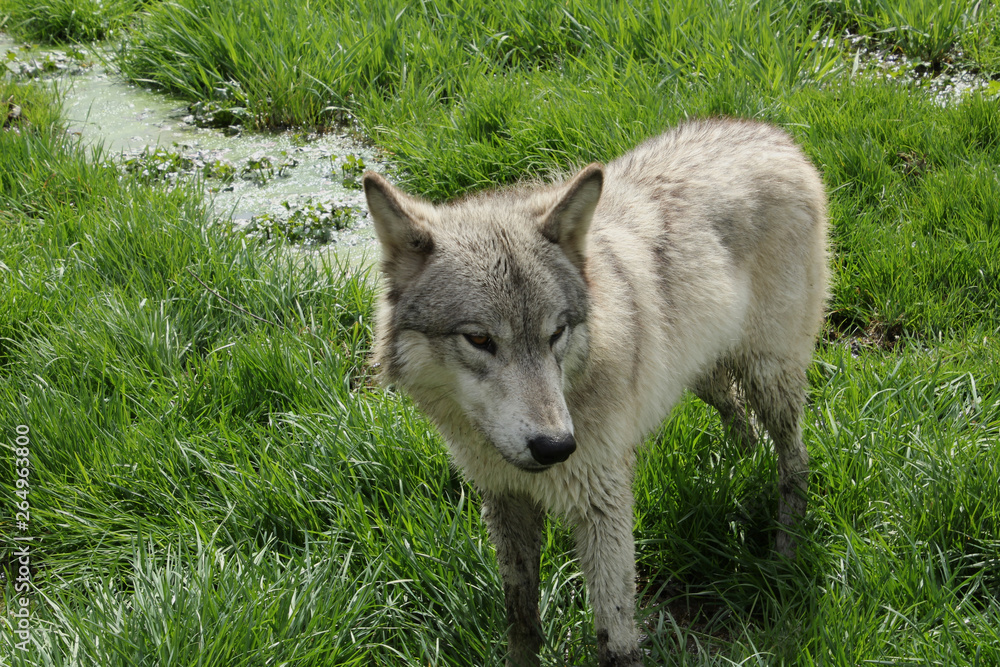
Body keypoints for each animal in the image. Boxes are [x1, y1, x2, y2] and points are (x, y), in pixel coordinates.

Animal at [362, 118, 828, 667]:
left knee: (795, 461)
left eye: (557, 333)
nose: (556, 447)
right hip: (704, 374)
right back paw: (737, 471)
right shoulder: (506, 500)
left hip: (767, 375)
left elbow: (617, 639)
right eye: (479, 339)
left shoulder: (603, 504)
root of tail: (775, 135)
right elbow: (522, 618)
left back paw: (783, 555)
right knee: (744, 425)